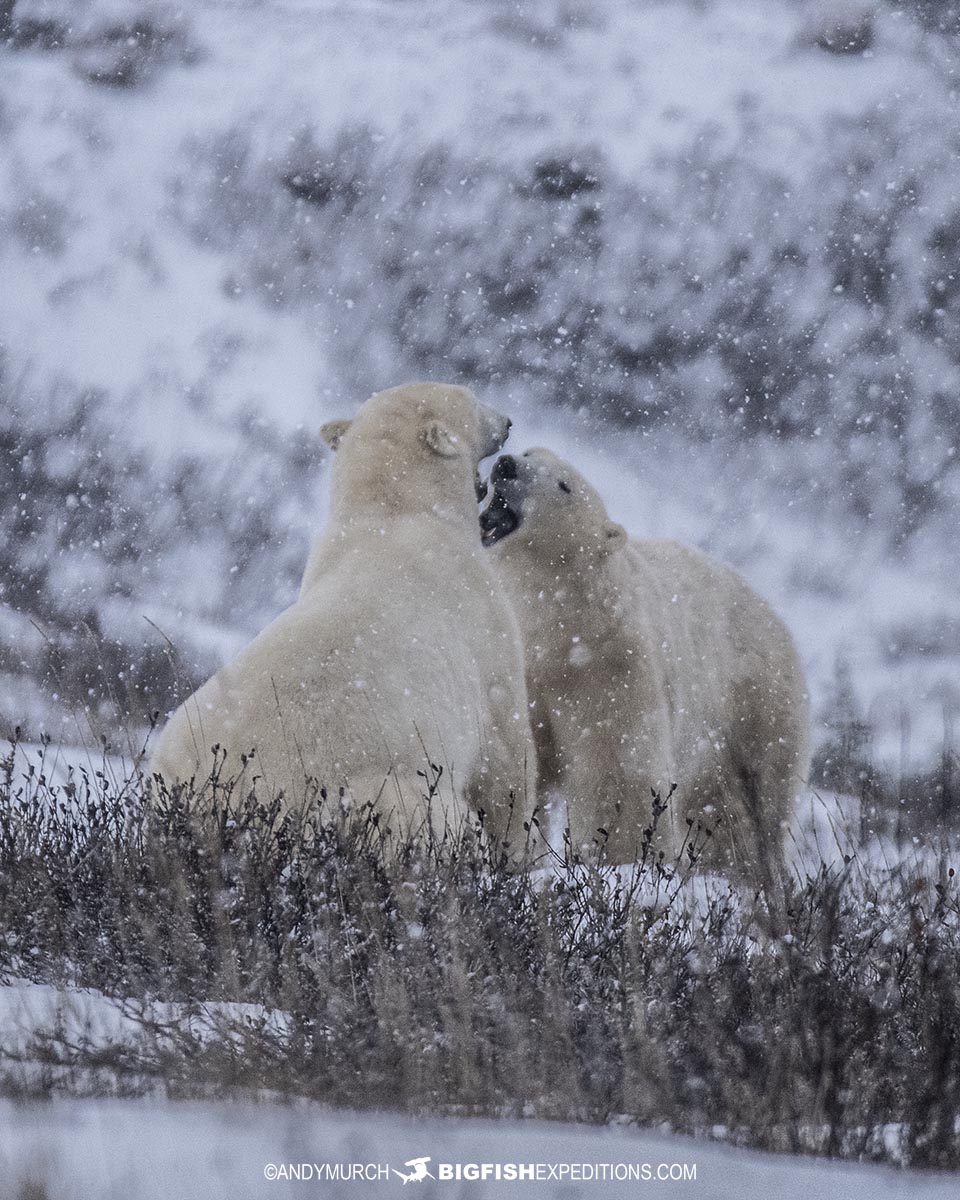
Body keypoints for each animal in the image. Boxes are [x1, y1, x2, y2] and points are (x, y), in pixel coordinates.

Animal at [150, 382, 536, 850]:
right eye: (472, 399)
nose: (509, 422)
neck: (394, 510)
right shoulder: (479, 614)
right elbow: (505, 755)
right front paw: (517, 851)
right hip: (364, 792)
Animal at [481, 447, 809, 892]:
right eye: (531, 452)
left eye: (565, 485)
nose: (507, 464)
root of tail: (773, 614)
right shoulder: (514, 663)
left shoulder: (610, 665)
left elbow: (615, 769)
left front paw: (615, 863)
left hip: (756, 705)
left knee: (760, 807)